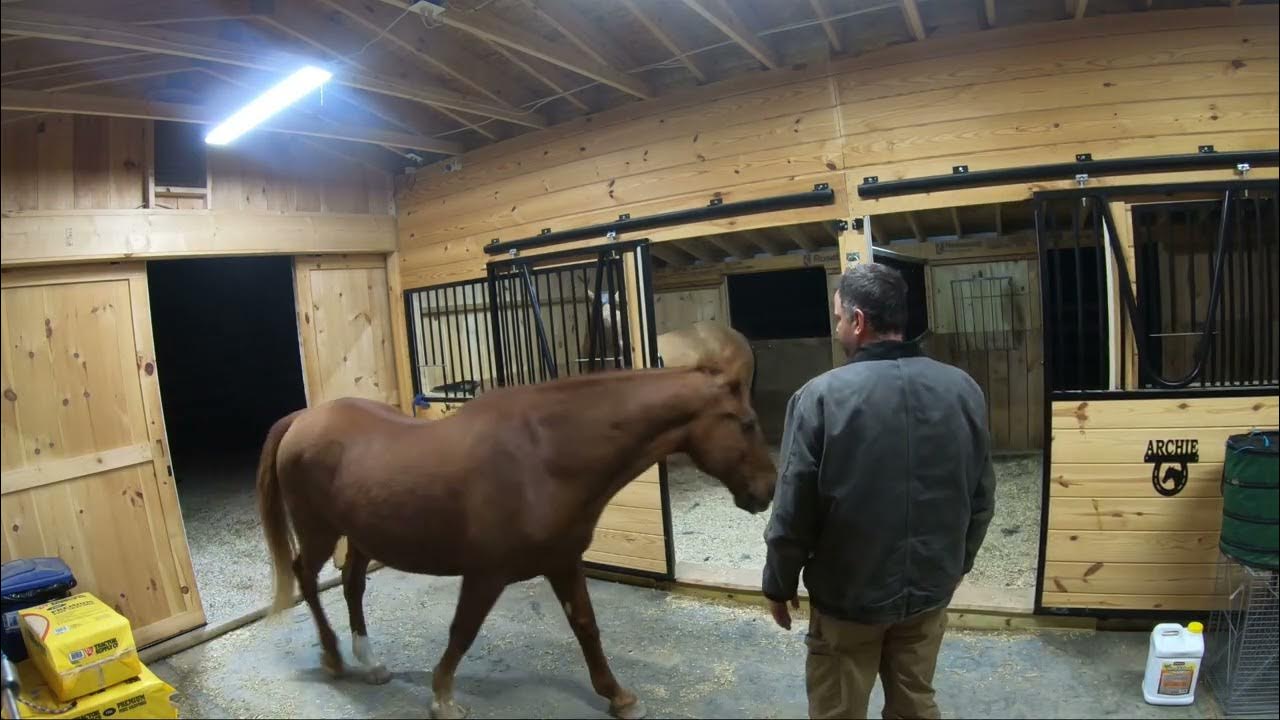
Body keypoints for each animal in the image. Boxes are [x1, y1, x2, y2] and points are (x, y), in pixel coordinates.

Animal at [256, 344, 776, 719]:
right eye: (748, 423)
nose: (768, 490)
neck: (544, 456)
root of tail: (302, 419)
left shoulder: (563, 562)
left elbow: (587, 627)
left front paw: (618, 696)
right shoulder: (486, 575)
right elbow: (463, 631)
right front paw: (442, 698)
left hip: (361, 536)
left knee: (352, 584)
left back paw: (369, 661)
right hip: (320, 532)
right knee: (306, 577)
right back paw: (334, 658)